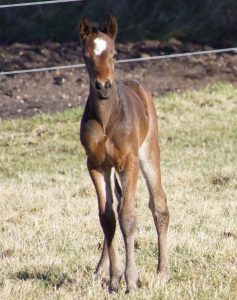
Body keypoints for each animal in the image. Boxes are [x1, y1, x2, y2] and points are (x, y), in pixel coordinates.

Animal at [79, 15, 170, 292]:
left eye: (115, 54)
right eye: (86, 56)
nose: (103, 86)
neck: (108, 119)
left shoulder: (128, 163)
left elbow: (128, 218)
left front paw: (131, 280)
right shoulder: (97, 165)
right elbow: (108, 218)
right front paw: (114, 279)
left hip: (148, 152)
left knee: (158, 205)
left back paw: (163, 272)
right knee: (116, 207)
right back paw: (101, 270)